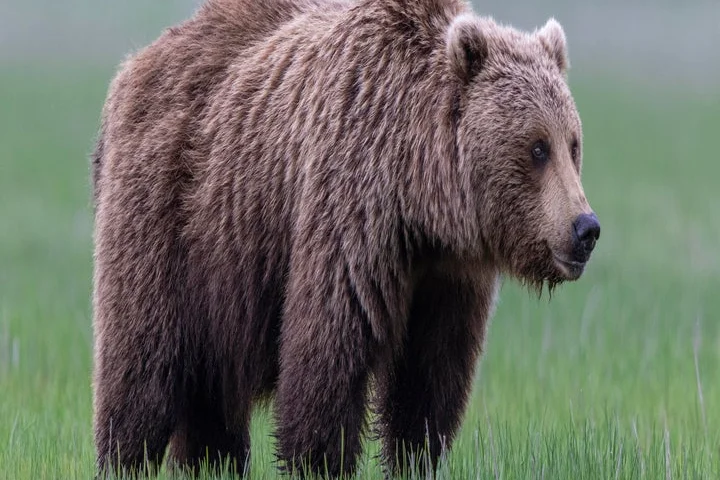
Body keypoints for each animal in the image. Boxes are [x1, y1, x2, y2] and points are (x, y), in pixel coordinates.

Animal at [91, 0, 600, 477]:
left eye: (573, 143)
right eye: (537, 147)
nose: (585, 228)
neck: (420, 199)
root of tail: (135, 65)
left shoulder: (447, 276)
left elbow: (430, 382)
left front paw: (416, 456)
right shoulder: (350, 211)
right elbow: (328, 360)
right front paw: (318, 460)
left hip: (219, 271)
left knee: (210, 396)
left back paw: (211, 462)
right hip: (172, 214)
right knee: (142, 367)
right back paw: (124, 455)